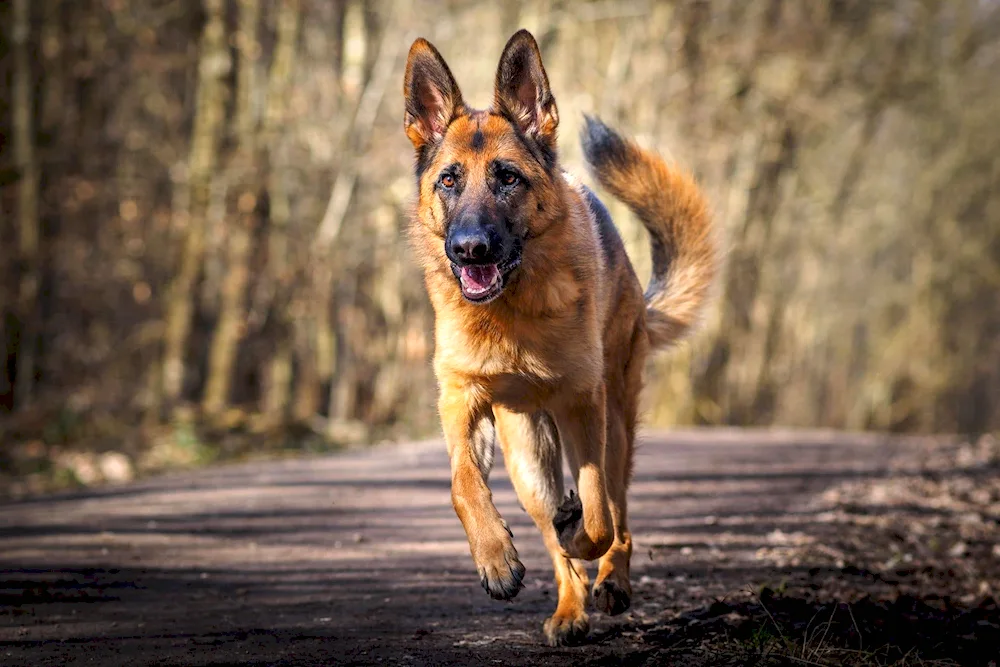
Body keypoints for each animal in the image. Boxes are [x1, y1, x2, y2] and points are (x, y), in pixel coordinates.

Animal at [402, 31, 716, 648]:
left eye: (508, 178)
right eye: (449, 179)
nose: (469, 249)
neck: (508, 314)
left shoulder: (582, 406)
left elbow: (595, 518)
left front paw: (582, 534)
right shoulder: (462, 401)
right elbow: (461, 482)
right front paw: (495, 559)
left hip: (614, 425)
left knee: (615, 515)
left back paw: (612, 579)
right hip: (529, 459)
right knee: (554, 537)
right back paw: (570, 609)